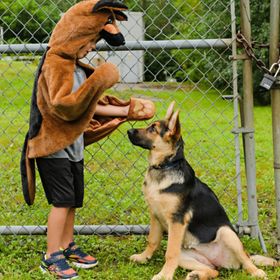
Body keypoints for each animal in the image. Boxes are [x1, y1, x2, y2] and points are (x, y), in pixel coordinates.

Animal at [127, 101, 278, 278]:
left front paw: (164, 275)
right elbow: (152, 240)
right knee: (214, 271)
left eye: (153, 129)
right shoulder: (155, 215)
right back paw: (197, 275)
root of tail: (216, 260)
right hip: (187, 255)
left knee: (245, 262)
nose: (128, 131)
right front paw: (143, 257)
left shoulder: (177, 220)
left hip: (227, 233)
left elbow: (170, 253)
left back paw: (257, 272)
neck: (165, 166)